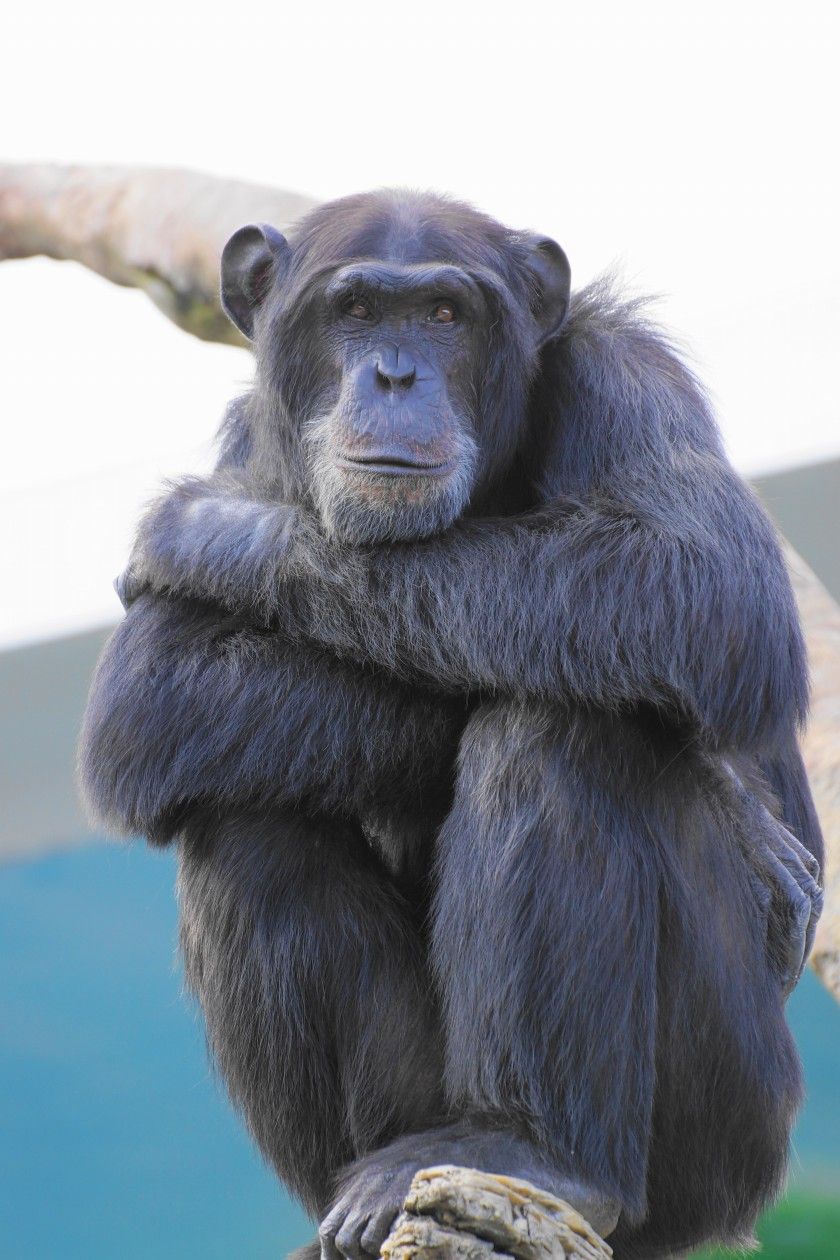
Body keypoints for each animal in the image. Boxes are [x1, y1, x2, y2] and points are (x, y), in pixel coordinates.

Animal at [81, 189, 826, 1260]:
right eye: (355, 310)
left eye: (443, 314)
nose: (396, 373)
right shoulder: (244, 436)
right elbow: (152, 690)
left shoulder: (629, 379)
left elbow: (705, 583)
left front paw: (214, 531)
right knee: (243, 819)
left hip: (734, 1125)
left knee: (560, 720)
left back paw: (536, 1150)